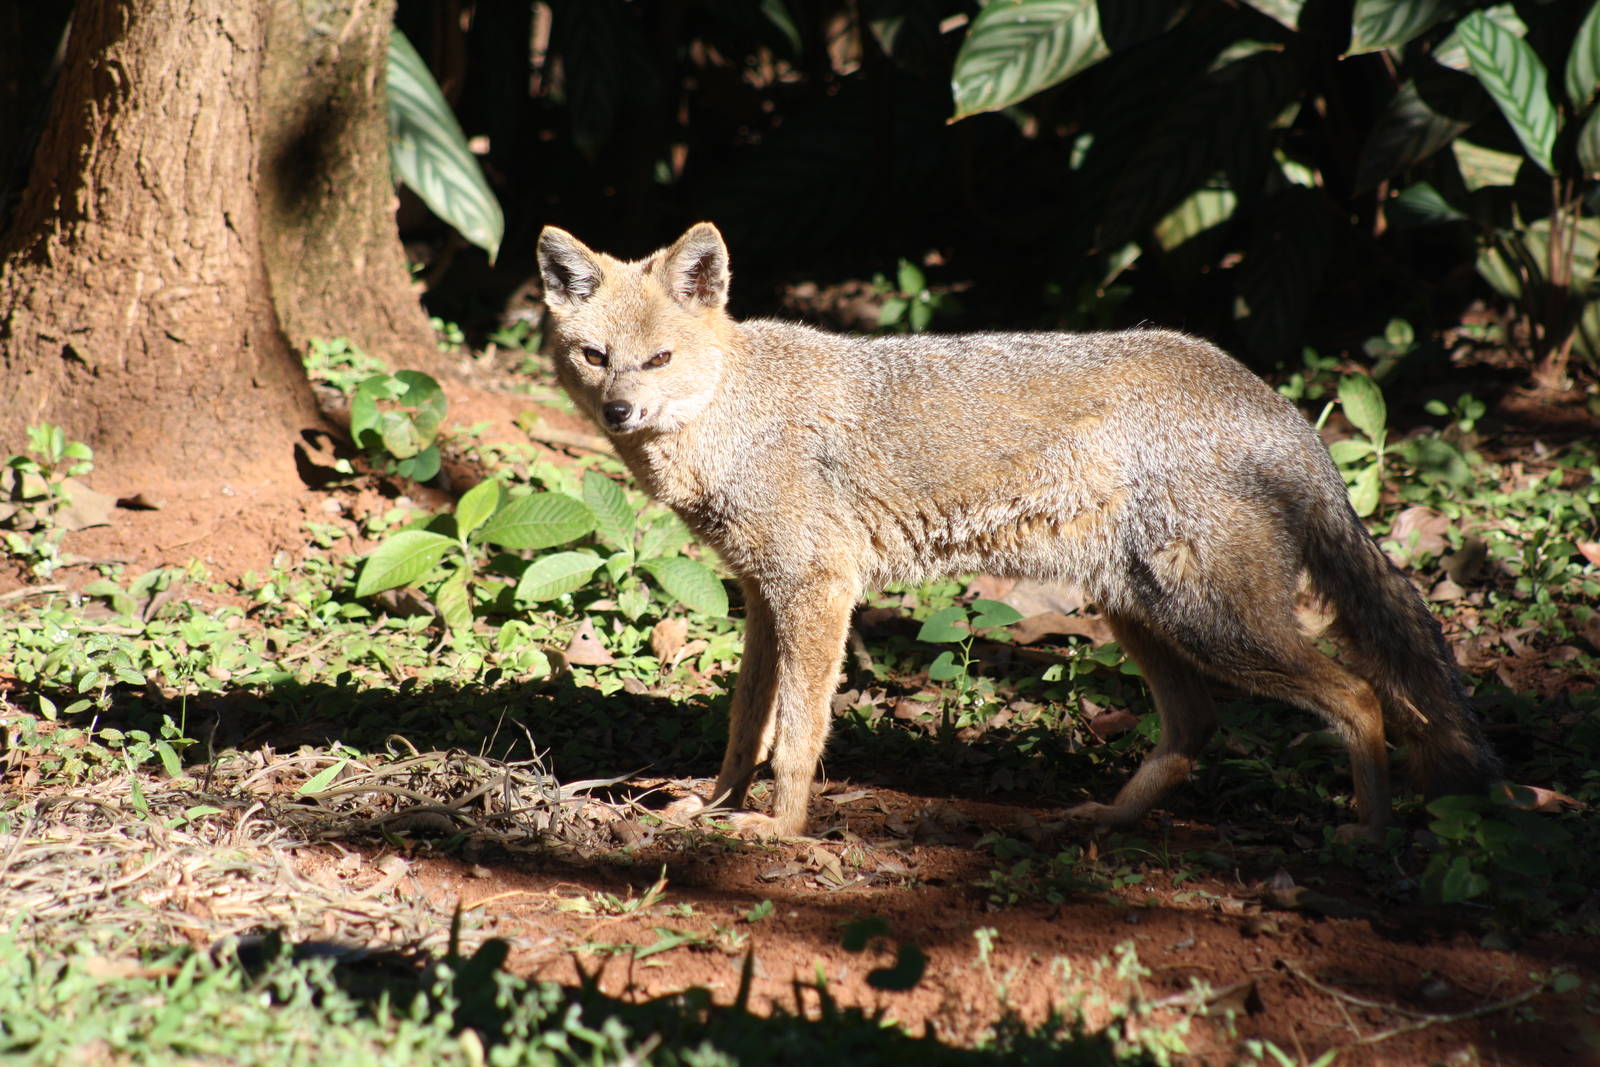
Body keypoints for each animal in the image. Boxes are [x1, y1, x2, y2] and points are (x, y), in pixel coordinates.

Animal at [535, 221, 1501, 843]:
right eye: (595, 356)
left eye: (660, 359)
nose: (619, 410)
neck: (733, 412)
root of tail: (1271, 398)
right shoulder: (766, 597)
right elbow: (746, 727)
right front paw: (714, 805)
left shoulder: (818, 590)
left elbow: (798, 734)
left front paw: (778, 830)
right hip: (1143, 615)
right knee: (1197, 728)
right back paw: (1107, 822)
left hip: (1217, 623)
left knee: (1364, 697)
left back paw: (1371, 837)